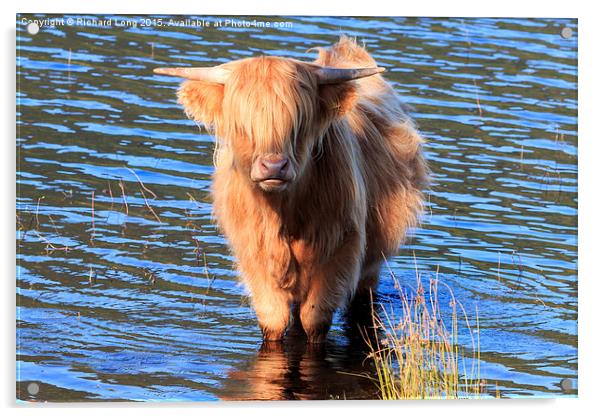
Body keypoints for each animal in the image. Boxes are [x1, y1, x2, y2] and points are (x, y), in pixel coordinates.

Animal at [155, 36, 426, 342]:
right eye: (242, 125)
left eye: (298, 124)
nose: (273, 166)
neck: (284, 214)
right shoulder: (253, 253)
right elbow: (273, 319)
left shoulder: (341, 248)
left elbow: (314, 319)